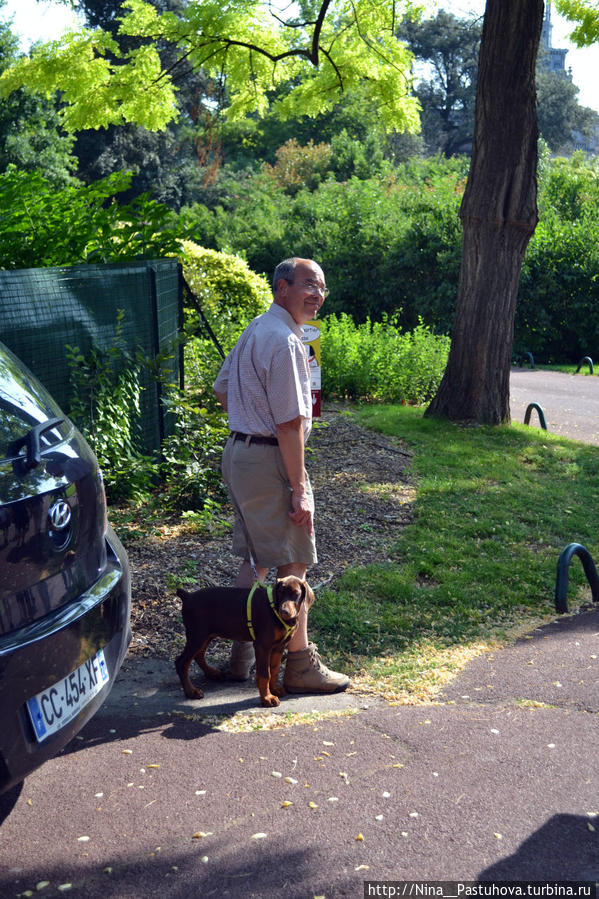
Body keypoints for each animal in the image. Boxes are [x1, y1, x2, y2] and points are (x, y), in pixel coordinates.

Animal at [175, 576, 316, 712]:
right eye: (280, 592)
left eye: (296, 594)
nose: (284, 612)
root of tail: (188, 596)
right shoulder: (262, 646)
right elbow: (265, 673)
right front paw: (267, 698)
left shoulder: (279, 646)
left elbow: (274, 669)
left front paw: (274, 689)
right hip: (197, 635)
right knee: (182, 662)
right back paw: (191, 691)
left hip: (207, 635)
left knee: (198, 655)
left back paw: (212, 673)